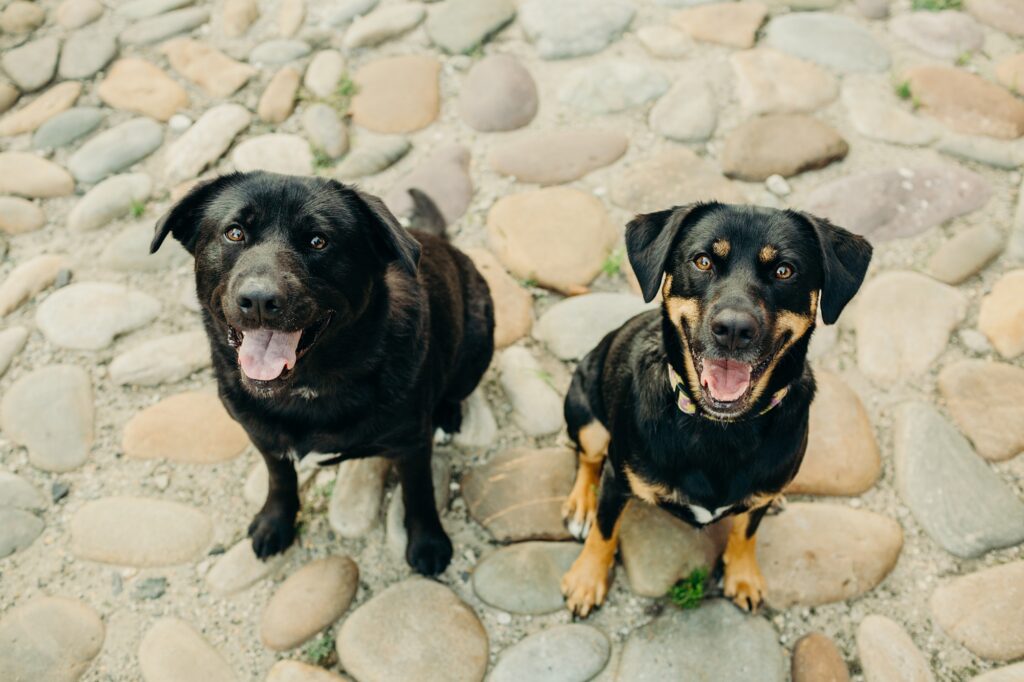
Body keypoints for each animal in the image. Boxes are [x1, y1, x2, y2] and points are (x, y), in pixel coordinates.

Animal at [149, 169, 495, 573]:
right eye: (234, 232)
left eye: (318, 241)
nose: (260, 300)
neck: (307, 387)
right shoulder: (262, 436)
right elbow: (280, 478)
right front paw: (275, 522)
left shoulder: (411, 444)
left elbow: (419, 493)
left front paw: (428, 543)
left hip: (478, 342)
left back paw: (447, 413)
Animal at [561, 199, 872, 614]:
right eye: (703, 261)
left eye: (784, 270)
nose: (734, 329)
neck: (720, 427)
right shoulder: (617, 479)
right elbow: (605, 530)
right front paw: (586, 580)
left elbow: (747, 531)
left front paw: (742, 576)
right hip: (586, 412)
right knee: (588, 458)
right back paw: (581, 505)